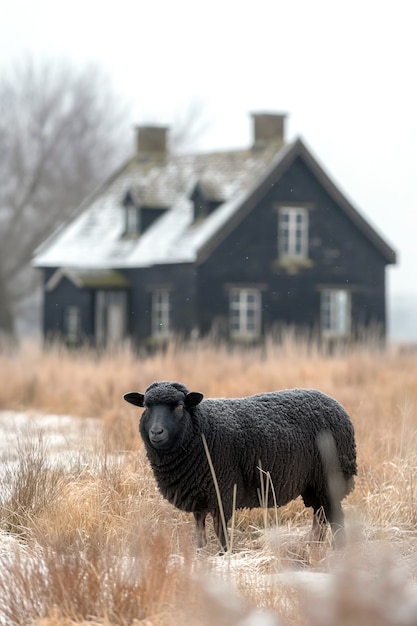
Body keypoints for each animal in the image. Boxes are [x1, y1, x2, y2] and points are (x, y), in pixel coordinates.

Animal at [122, 378, 354, 548]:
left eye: (179, 406)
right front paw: (201, 554)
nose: (156, 432)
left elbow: (221, 533)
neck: (202, 430)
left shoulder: (222, 491)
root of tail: (336, 404)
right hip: (314, 485)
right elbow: (199, 531)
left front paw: (224, 557)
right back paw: (314, 546)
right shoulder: (198, 495)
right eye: (146, 406)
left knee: (336, 519)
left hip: (330, 478)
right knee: (320, 517)